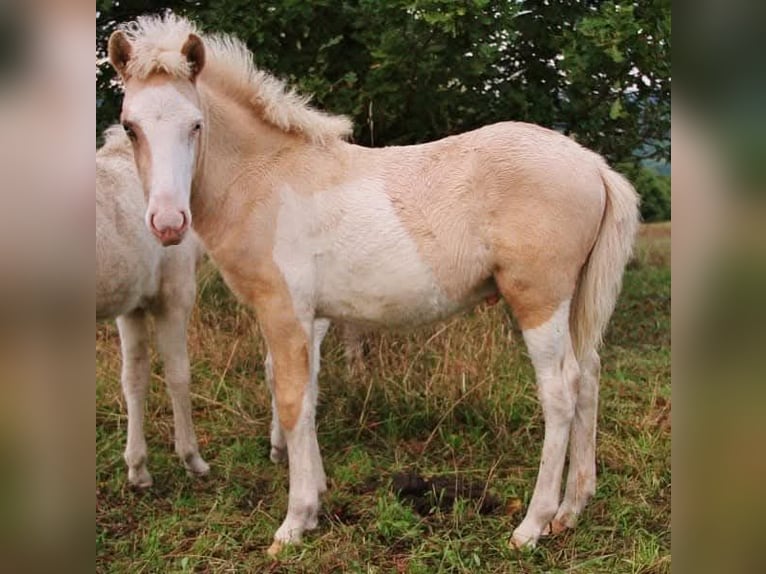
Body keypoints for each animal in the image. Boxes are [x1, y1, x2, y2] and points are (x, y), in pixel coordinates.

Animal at [97, 125, 209, 487]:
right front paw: (191, 458)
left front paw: (138, 469)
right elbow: (178, 374)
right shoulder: (174, 298)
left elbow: (134, 377)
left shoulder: (131, 307)